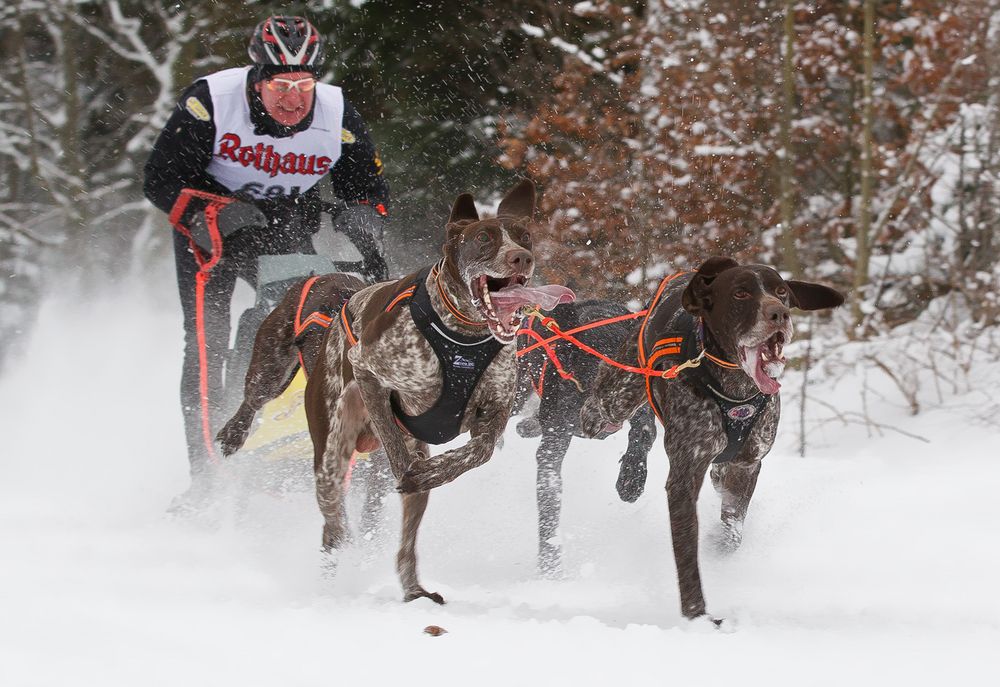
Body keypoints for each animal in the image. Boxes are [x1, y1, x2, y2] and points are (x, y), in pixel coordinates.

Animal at [304, 180, 576, 604]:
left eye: (525, 236)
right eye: (483, 238)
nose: (521, 257)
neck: (464, 333)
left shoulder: (494, 414)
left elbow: (477, 453)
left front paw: (431, 472)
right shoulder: (366, 368)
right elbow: (395, 445)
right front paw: (409, 469)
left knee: (405, 544)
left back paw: (413, 588)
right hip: (331, 457)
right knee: (333, 525)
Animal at [580, 258, 844, 624]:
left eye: (780, 291)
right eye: (740, 293)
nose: (779, 313)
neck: (736, 390)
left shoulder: (746, 465)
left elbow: (732, 528)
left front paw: (719, 547)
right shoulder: (685, 476)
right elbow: (686, 552)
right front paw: (697, 615)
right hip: (609, 406)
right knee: (609, 417)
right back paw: (628, 474)